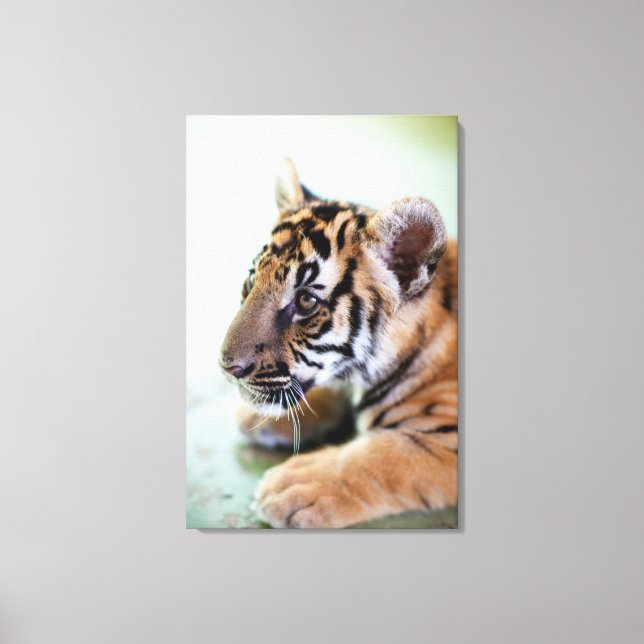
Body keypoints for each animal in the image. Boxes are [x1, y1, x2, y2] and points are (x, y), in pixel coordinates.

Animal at [219, 159, 458, 528]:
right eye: (251, 280)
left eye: (306, 301)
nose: (227, 367)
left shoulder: (448, 439)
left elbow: (387, 455)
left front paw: (293, 485)